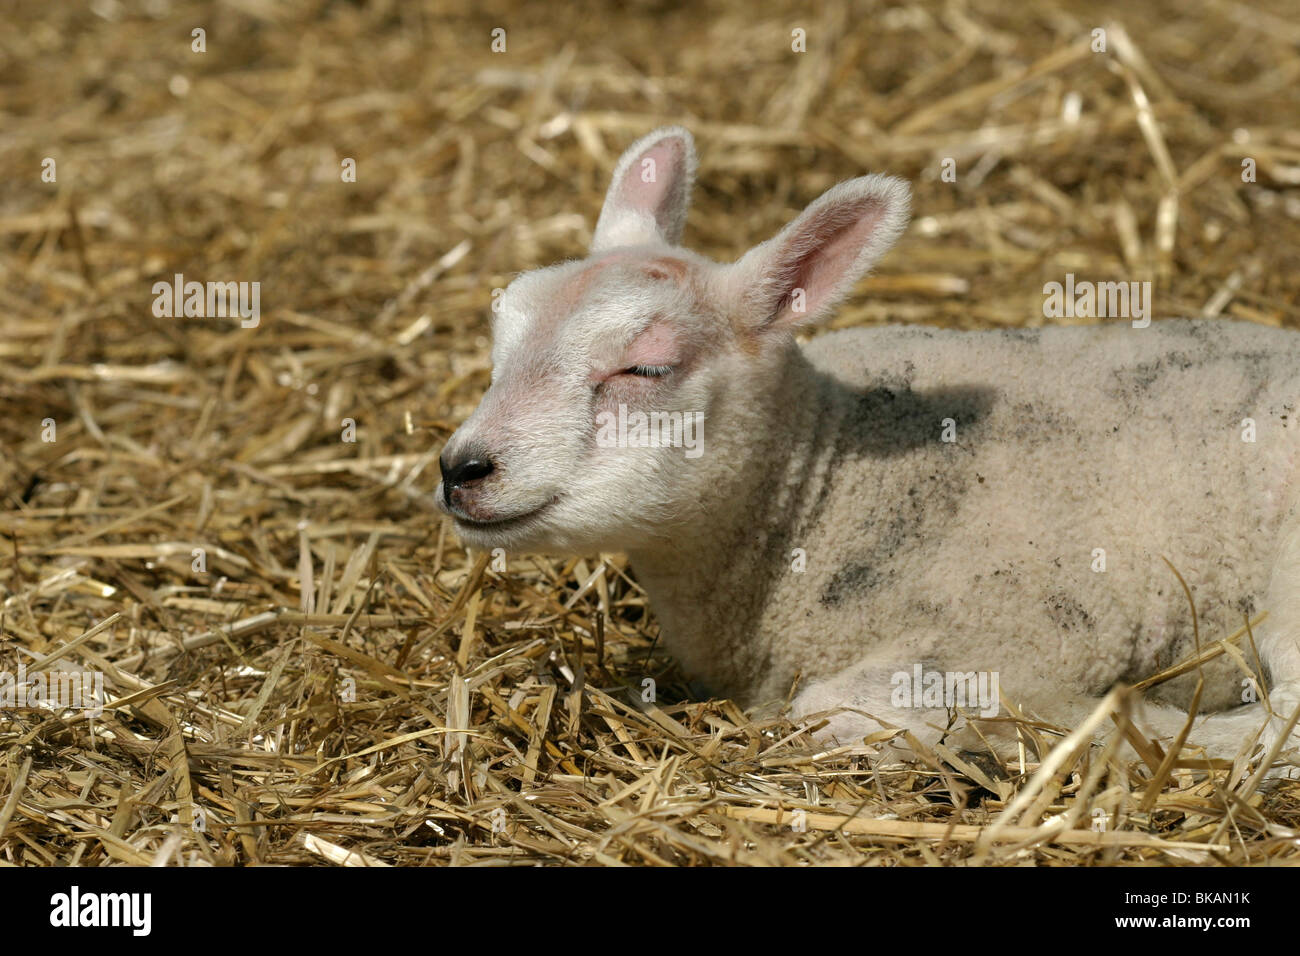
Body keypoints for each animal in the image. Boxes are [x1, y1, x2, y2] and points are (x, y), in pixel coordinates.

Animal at [434, 128, 1300, 770]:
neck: (826, 483)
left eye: (645, 368)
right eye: (501, 335)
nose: (460, 468)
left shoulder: (1024, 627)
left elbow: (830, 707)